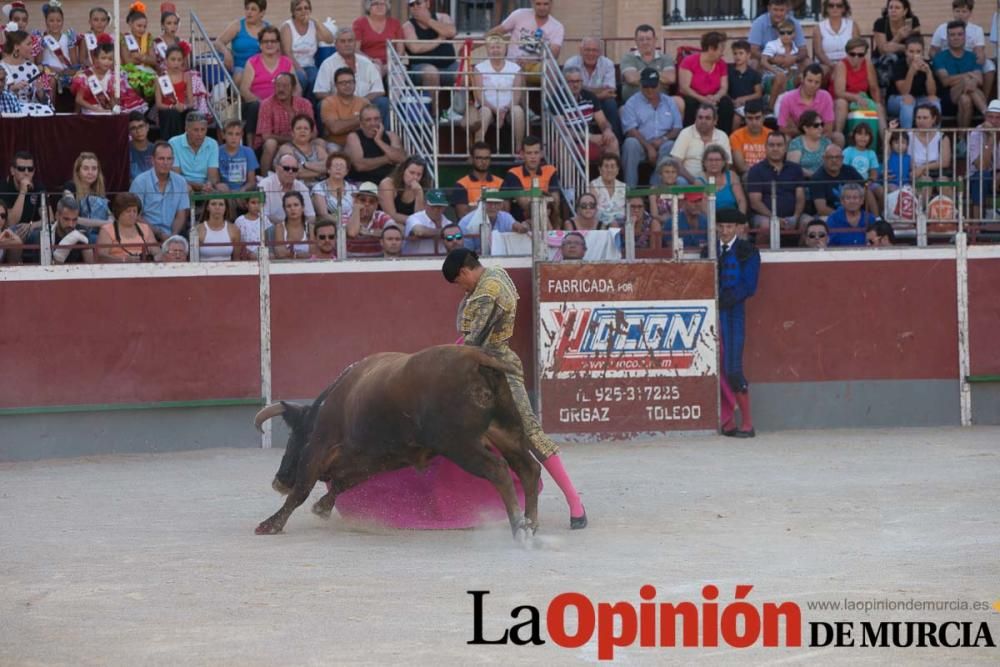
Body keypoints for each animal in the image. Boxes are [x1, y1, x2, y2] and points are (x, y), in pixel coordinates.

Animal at [254, 344, 544, 536]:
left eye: (294, 436)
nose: (279, 480)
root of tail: (477, 358)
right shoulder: (376, 461)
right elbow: (341, 484)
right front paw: (322, 507)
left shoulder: (318, 448)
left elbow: (301, 490)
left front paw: (271, 524)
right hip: (506, 433)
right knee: (529, 469)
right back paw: (531, 525)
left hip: (461, 445)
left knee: (498, 469)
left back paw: (519, 529)